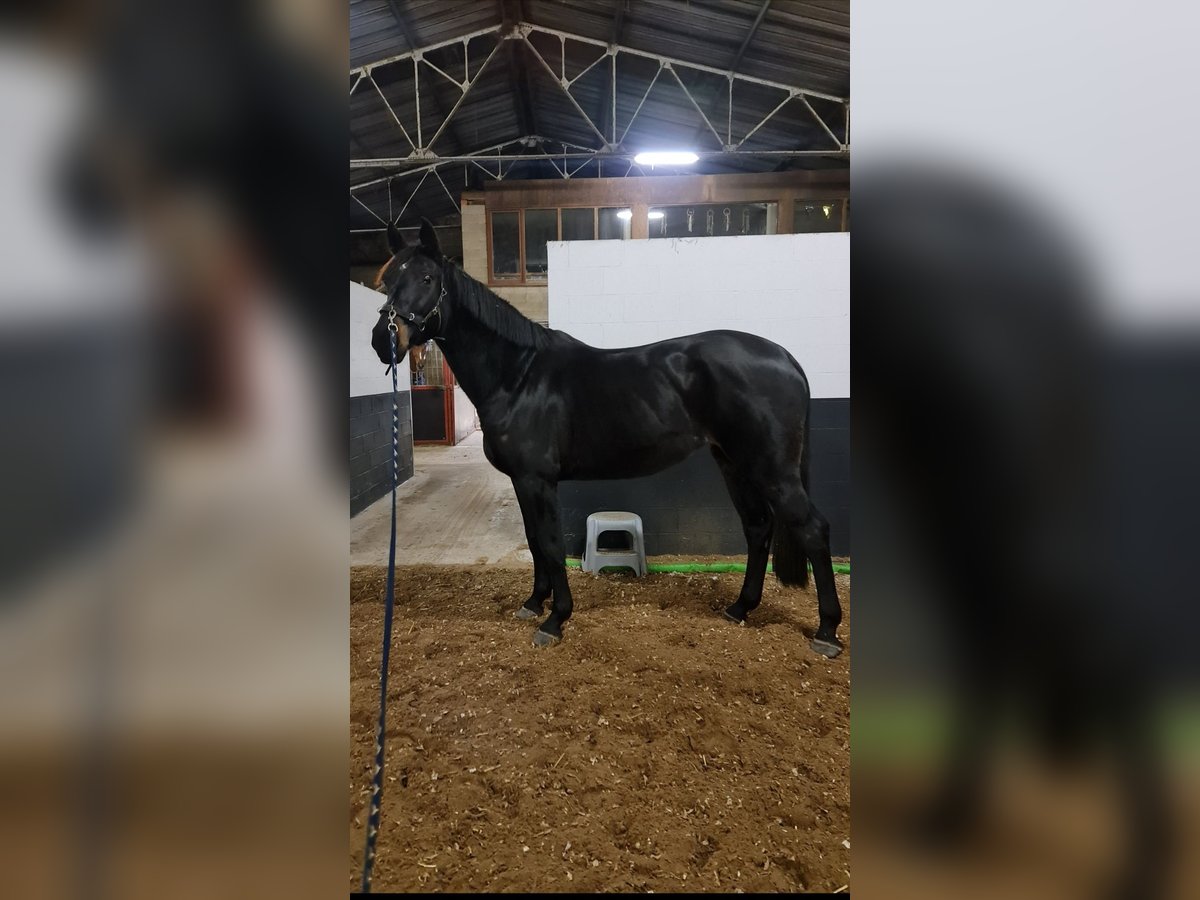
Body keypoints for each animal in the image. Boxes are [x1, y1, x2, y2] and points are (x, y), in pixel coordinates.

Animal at [369, 218, 840, 657]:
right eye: (387, 282)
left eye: (427, 279)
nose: (383, 340)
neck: (519, 376)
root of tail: (786, 357)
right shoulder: (522, 480)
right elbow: (534, 540)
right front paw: (534, 602)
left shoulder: (539, 479)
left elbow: (551, 543)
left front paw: (555, 619)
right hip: (734, 463)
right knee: (758, 527)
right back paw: (740, 608)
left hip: (772, 469)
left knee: (813, 529)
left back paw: (827, 631)